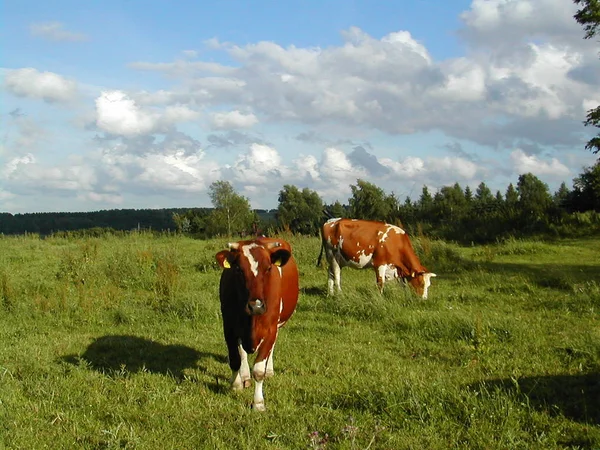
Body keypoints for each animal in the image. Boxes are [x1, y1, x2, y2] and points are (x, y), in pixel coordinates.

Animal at [216, 236, 300, 412]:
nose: (256, 306)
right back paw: (245, 376)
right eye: (238, 269)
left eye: (268, 268)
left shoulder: (271, 329)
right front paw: (236, 385)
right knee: (242, 353)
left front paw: (258, 403)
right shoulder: (229, 327)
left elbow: (259, 369)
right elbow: (235, 359)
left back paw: (269, 370)